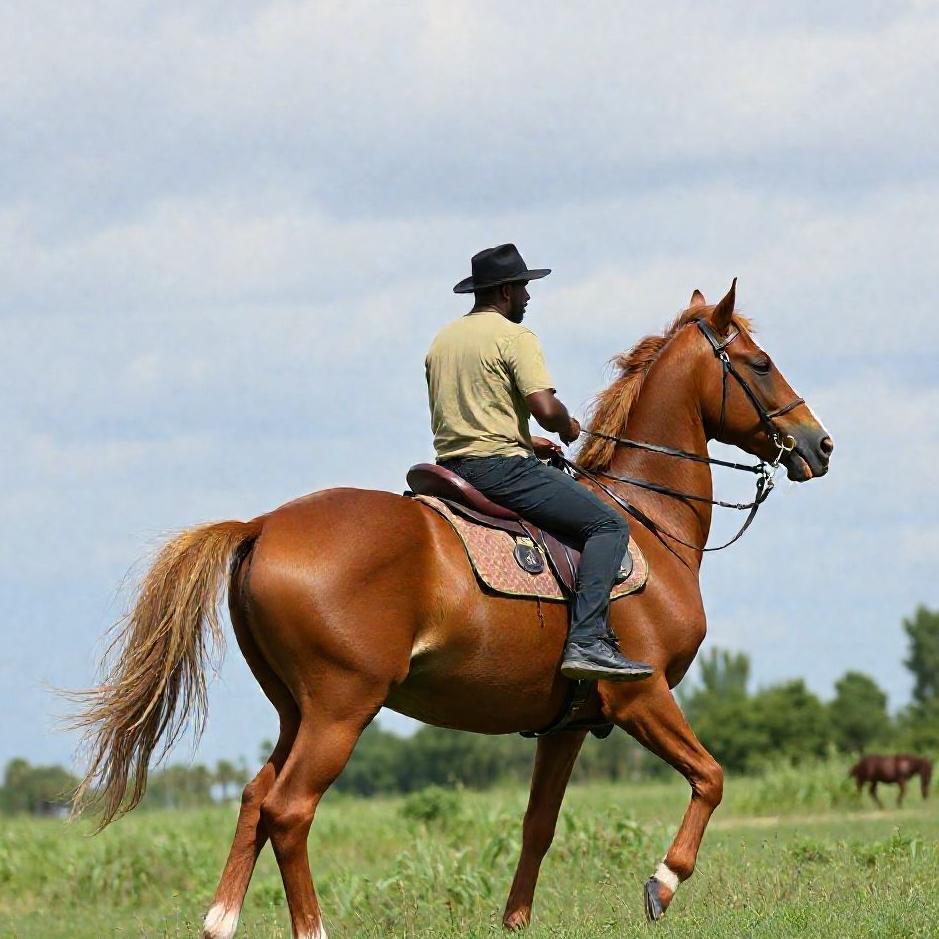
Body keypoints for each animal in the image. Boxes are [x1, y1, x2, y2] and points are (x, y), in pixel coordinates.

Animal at [71, 280, 833, 938]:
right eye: (760, 364)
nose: (818, 444)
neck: (646, 520)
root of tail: (260, 524)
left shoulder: (566, 726)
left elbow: (538, 824)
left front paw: (515, 921)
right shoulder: (639, 697)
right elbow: (710, 777)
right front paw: (663, 882)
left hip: (297, 711)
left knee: (257, 797)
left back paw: (219, 921)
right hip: (341, 708)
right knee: (289, 809)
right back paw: (311, 928)